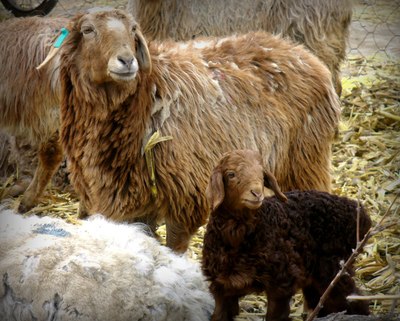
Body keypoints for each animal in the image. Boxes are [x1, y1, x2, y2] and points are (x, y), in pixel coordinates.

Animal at [59, 8, 340, 252]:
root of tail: (302, 53)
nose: (127, 61)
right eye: (87, 30)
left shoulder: (185, 195)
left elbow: (175, 247)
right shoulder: (132, 201)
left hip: (304, 161)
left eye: (133, 29)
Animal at [203, 149, 372, 320]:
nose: (256, 193)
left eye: (262, 174)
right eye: (231, 174)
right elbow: (218, 315)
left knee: (351, 300)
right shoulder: (222, 287)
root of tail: (360, 213)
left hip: (333, 268)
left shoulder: (282, 281)